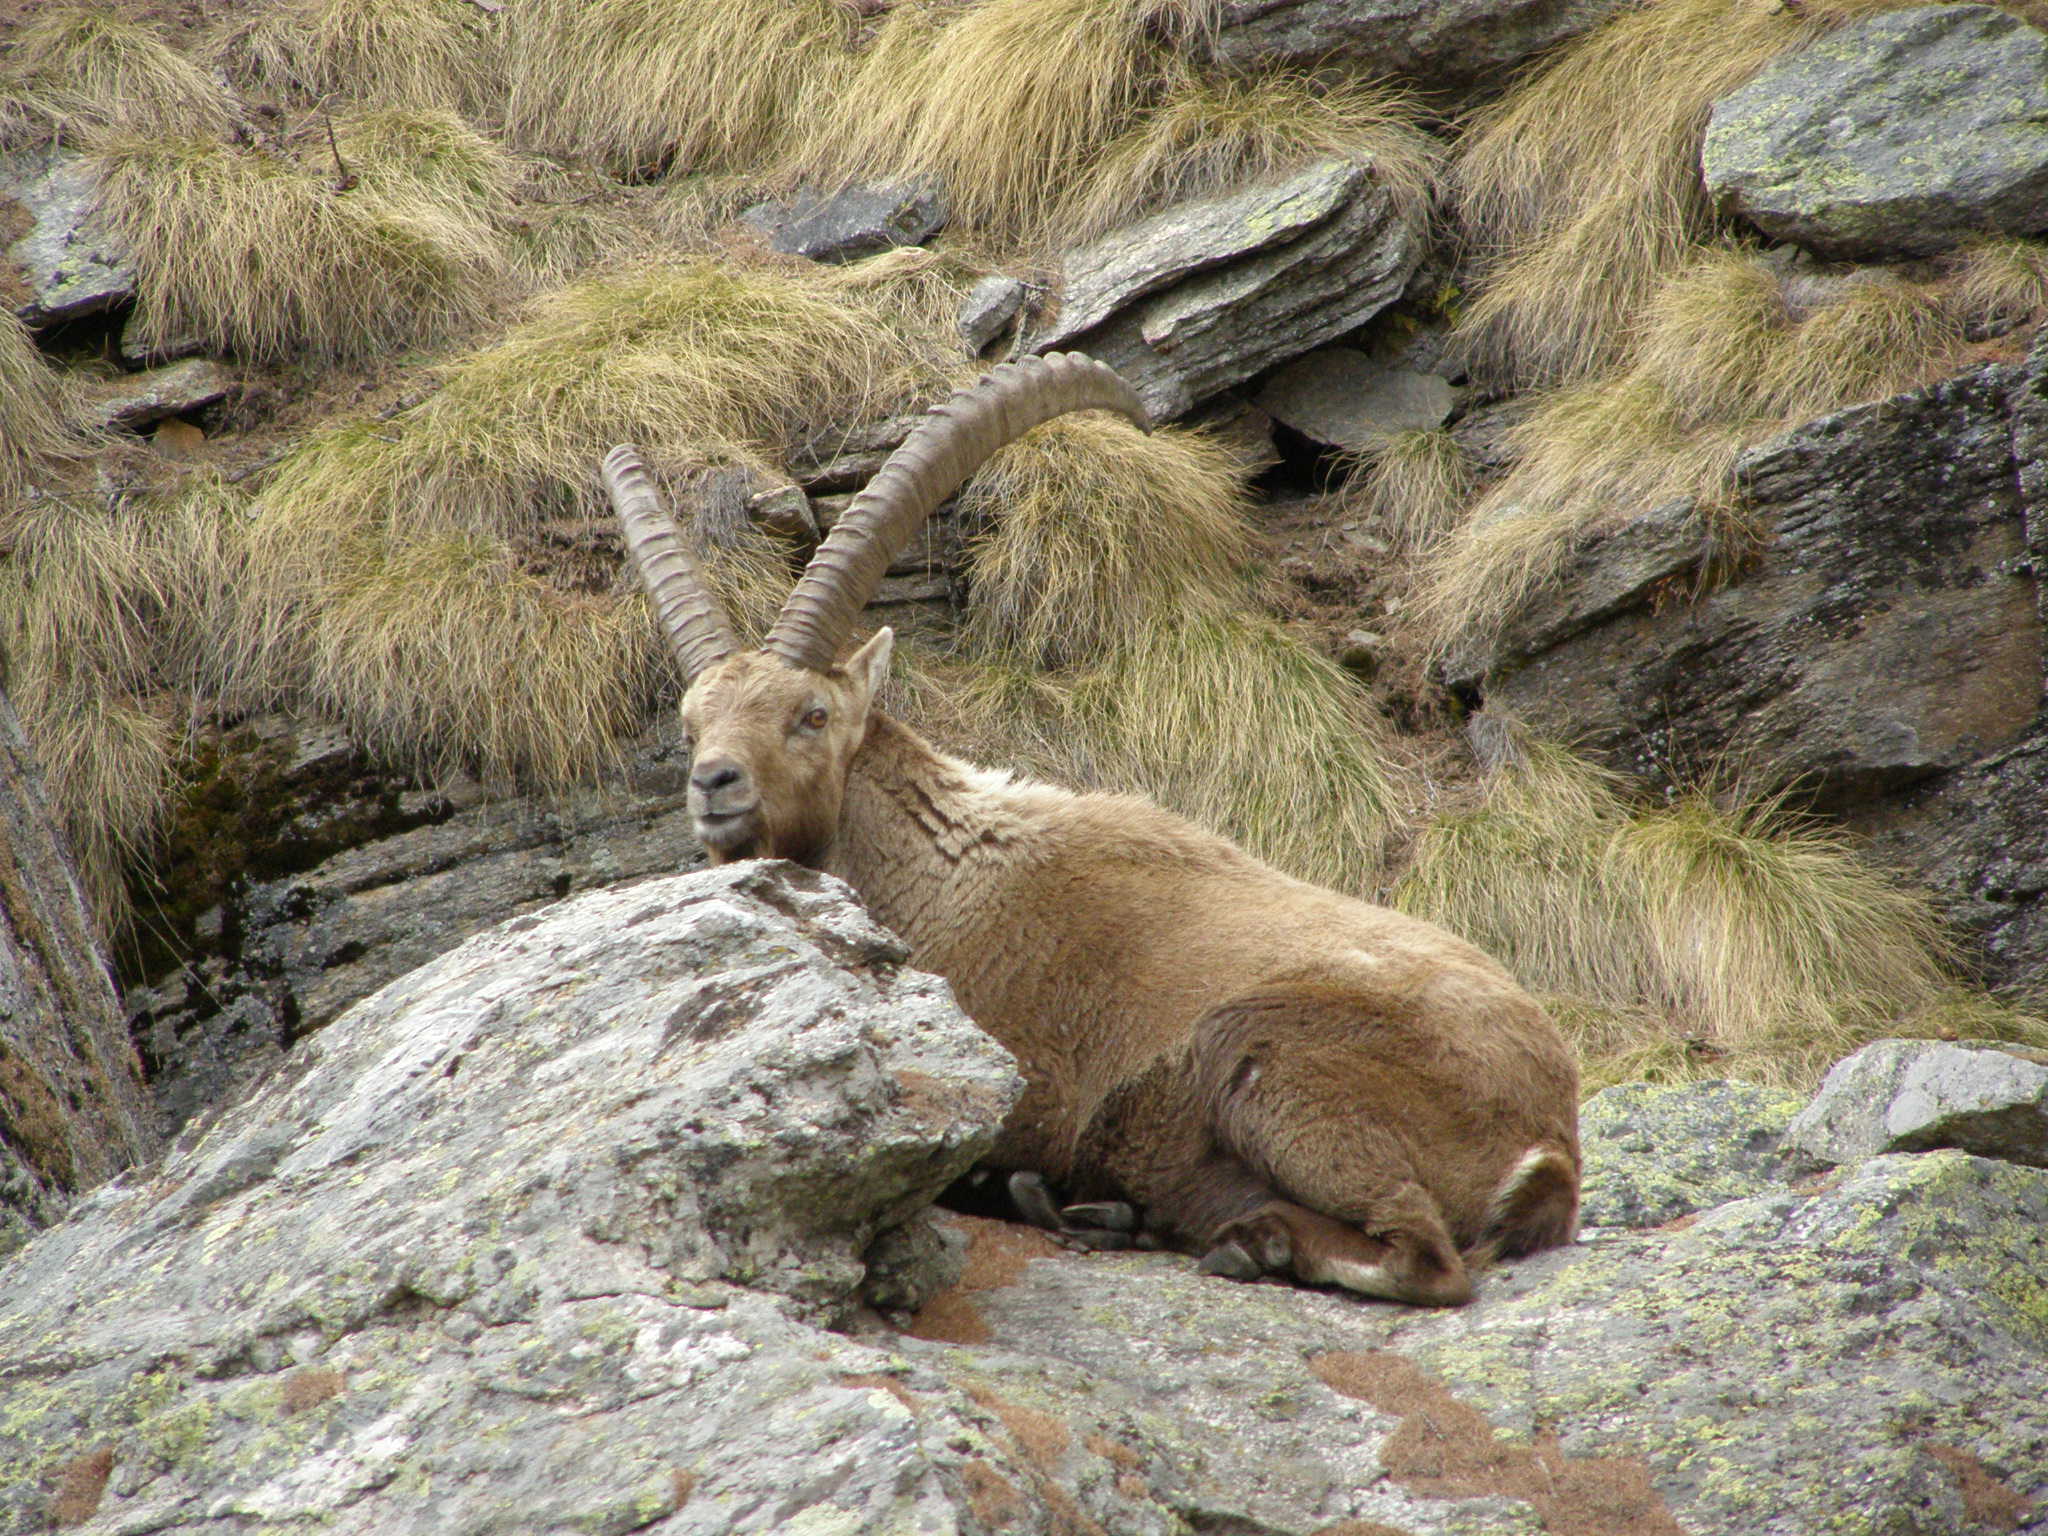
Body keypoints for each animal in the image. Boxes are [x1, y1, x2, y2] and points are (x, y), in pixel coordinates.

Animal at [602, 353, 1580, 1305]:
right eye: (691, 724)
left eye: (810, 715)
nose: (714, 782)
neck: (938, 880)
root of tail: (1547, 1141)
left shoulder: (1036, 1087)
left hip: (1267, 1052)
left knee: (1425, 1257)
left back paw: (1233, 1238)